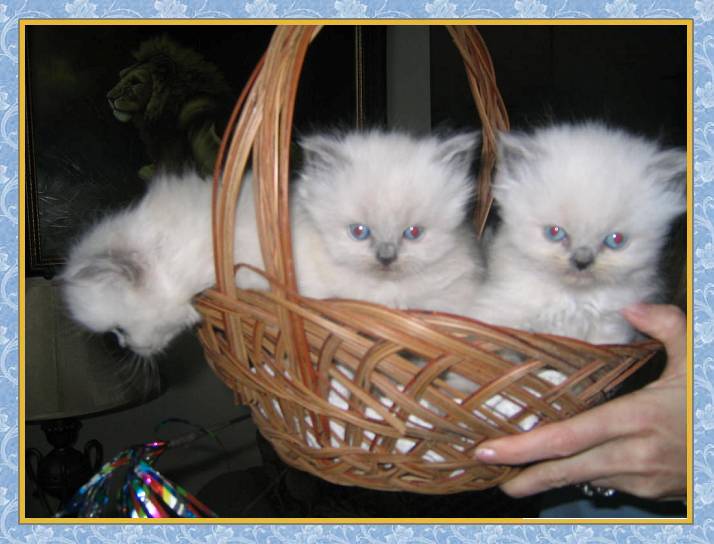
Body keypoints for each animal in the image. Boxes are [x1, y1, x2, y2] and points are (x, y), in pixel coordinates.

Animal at [468, 122, 684, 344]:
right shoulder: (502, 309)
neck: (573, 300)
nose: (582, 262)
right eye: (554, 232)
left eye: (616, 240)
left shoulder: (611, 327)